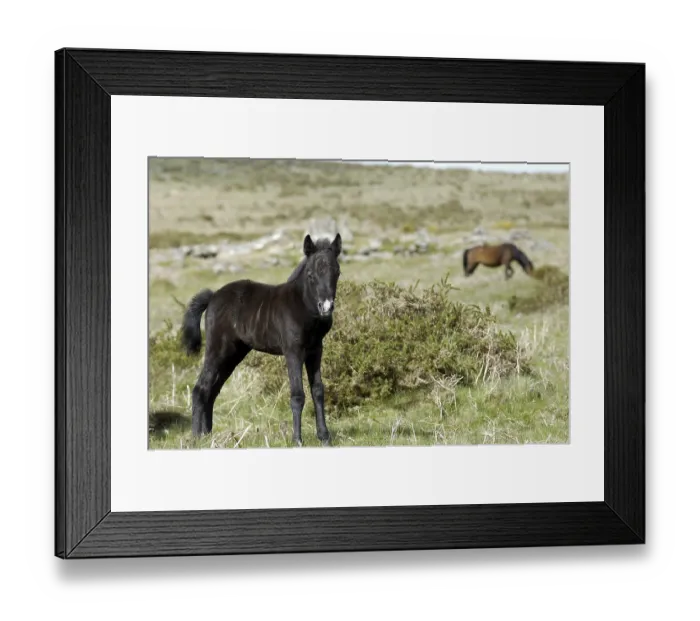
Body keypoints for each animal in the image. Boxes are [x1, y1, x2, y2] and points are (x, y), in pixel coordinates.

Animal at [180, 233, 343, 447]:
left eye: (337, 272)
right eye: (310, 275)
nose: (326, 307)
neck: (302, 305)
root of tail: (213, 296)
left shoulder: (316, 350)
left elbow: (318, 391)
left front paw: (324, 438)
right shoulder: (293, 351)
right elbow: (297, 395)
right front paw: (297, 440)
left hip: (234, 353)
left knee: (212, 390)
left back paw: (208, 435)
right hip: (218, 349)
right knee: (201, 388)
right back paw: (197, 437)